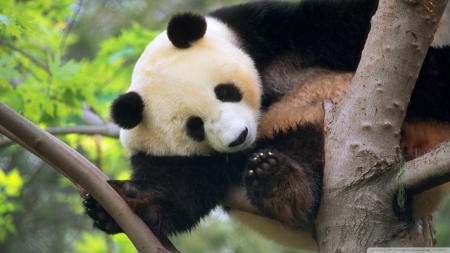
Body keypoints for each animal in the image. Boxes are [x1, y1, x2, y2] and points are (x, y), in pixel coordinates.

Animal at [82, 0, 450, 249]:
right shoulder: (174, 155)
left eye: (225, 92)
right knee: (302, 149)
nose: (239, 137)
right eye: (195, 127)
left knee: (430, 77)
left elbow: (341, 22)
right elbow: (180, 185)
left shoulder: (263, 29)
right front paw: (120, 206)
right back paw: (279, 181)